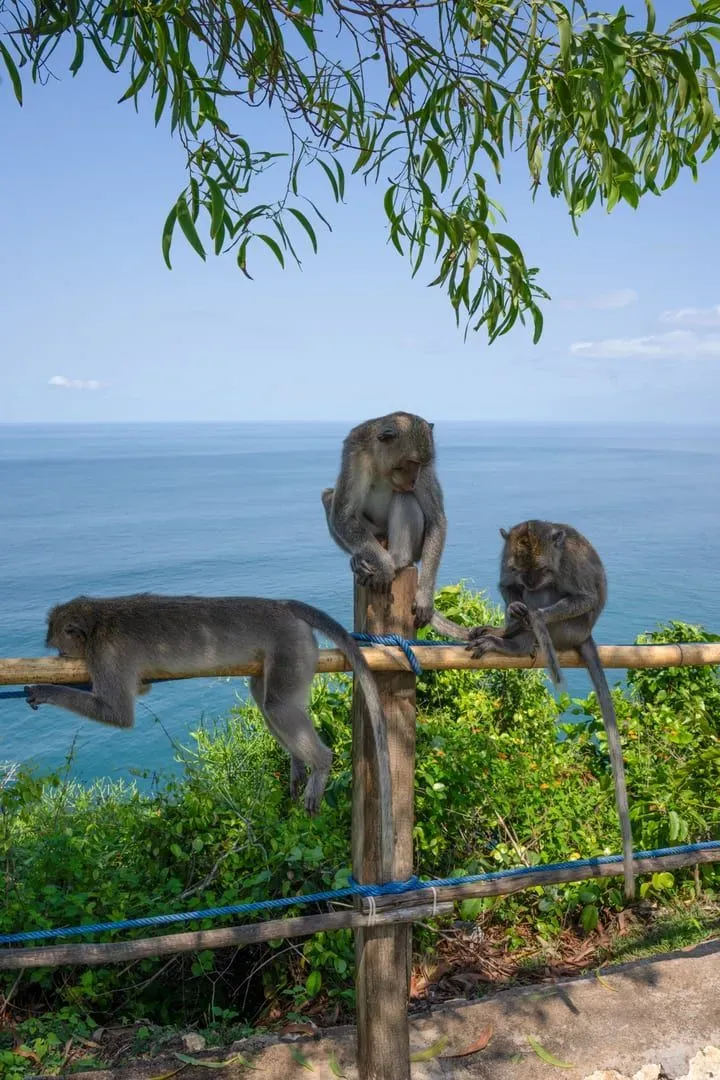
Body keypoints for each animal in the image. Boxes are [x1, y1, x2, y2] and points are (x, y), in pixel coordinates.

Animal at [24, 593, 394, 873]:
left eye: (59, 646)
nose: (59, 655)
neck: (98, 621)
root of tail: (282, 604)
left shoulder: (107, 654)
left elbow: (117, 713)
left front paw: (45, 690)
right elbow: (138, 692)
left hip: (292, 645)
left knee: (276, 706)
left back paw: (320, 763)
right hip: (292, 651)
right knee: (266, 701)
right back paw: (297, 763)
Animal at [322, 412, 447, 627]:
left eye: (422, 464)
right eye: (412, 462)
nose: (414, 480)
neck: (382, 465)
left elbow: (436, 519)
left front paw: (425, 596)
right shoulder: (354, 453)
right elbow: (342, 516)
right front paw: (384, 566)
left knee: (405, 495)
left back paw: (398, 559)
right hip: (376, 533)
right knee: (329, 496)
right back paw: (361, 559)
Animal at [458, 521, 635, 899]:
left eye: (539, 570)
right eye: (522, 569)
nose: (530, 583)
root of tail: (585, 636)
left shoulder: (568, 565)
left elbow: (583, 597)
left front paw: (534, 615)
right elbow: (506, 585)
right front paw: (513, 611)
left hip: (568, 631)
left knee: (552, 620)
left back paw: (515, 643)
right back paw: (507, 630)